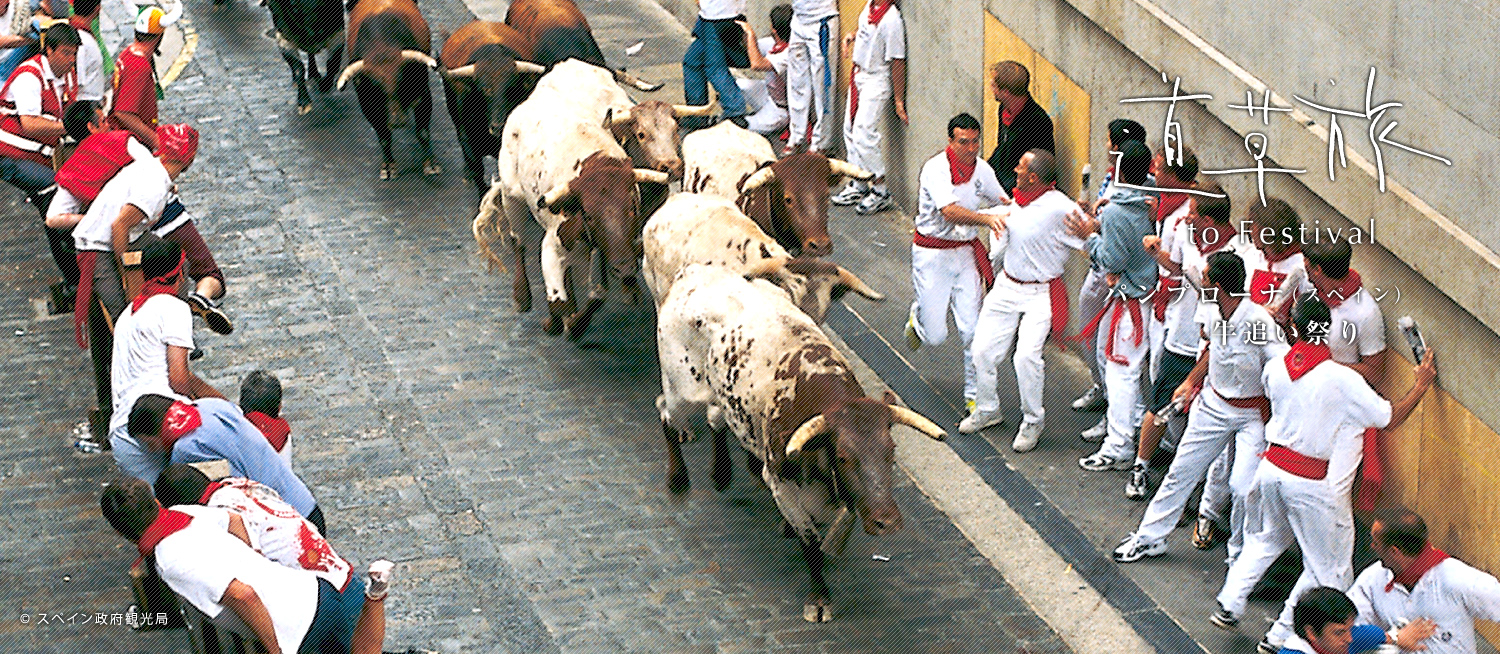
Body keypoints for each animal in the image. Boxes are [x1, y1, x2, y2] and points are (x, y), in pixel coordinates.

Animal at [654, 264, 942, 624]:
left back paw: (721, 474)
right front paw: (819, 599)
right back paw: (677, 480)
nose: (886, 523)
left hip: (723, 393)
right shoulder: (779, 481)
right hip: (682, 386)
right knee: (666, 412)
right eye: (843, 456)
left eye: (891, 451)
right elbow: (810, 540)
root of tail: (694, 272)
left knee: (716, 417)